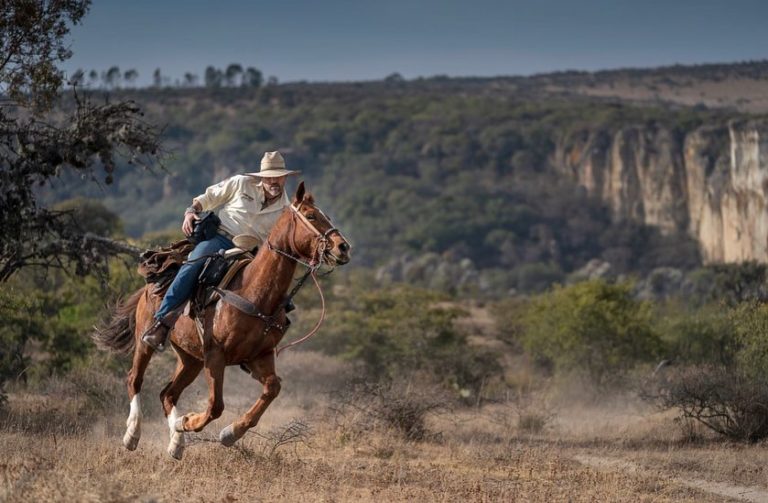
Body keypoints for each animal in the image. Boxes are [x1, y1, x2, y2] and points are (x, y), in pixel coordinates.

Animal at [92, 182, 352, 460]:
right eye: (311, 216)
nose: (343, 247)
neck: (254, 293)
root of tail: (149, 285)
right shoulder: (215, 356)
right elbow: (216, 405)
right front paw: (189, 422)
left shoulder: (259, 357)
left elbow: (273, 387)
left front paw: (229, 432)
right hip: (146, 341)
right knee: (134, 379)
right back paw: (133, 435)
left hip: (190, 358)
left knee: (168, 394)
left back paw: (176, 443)